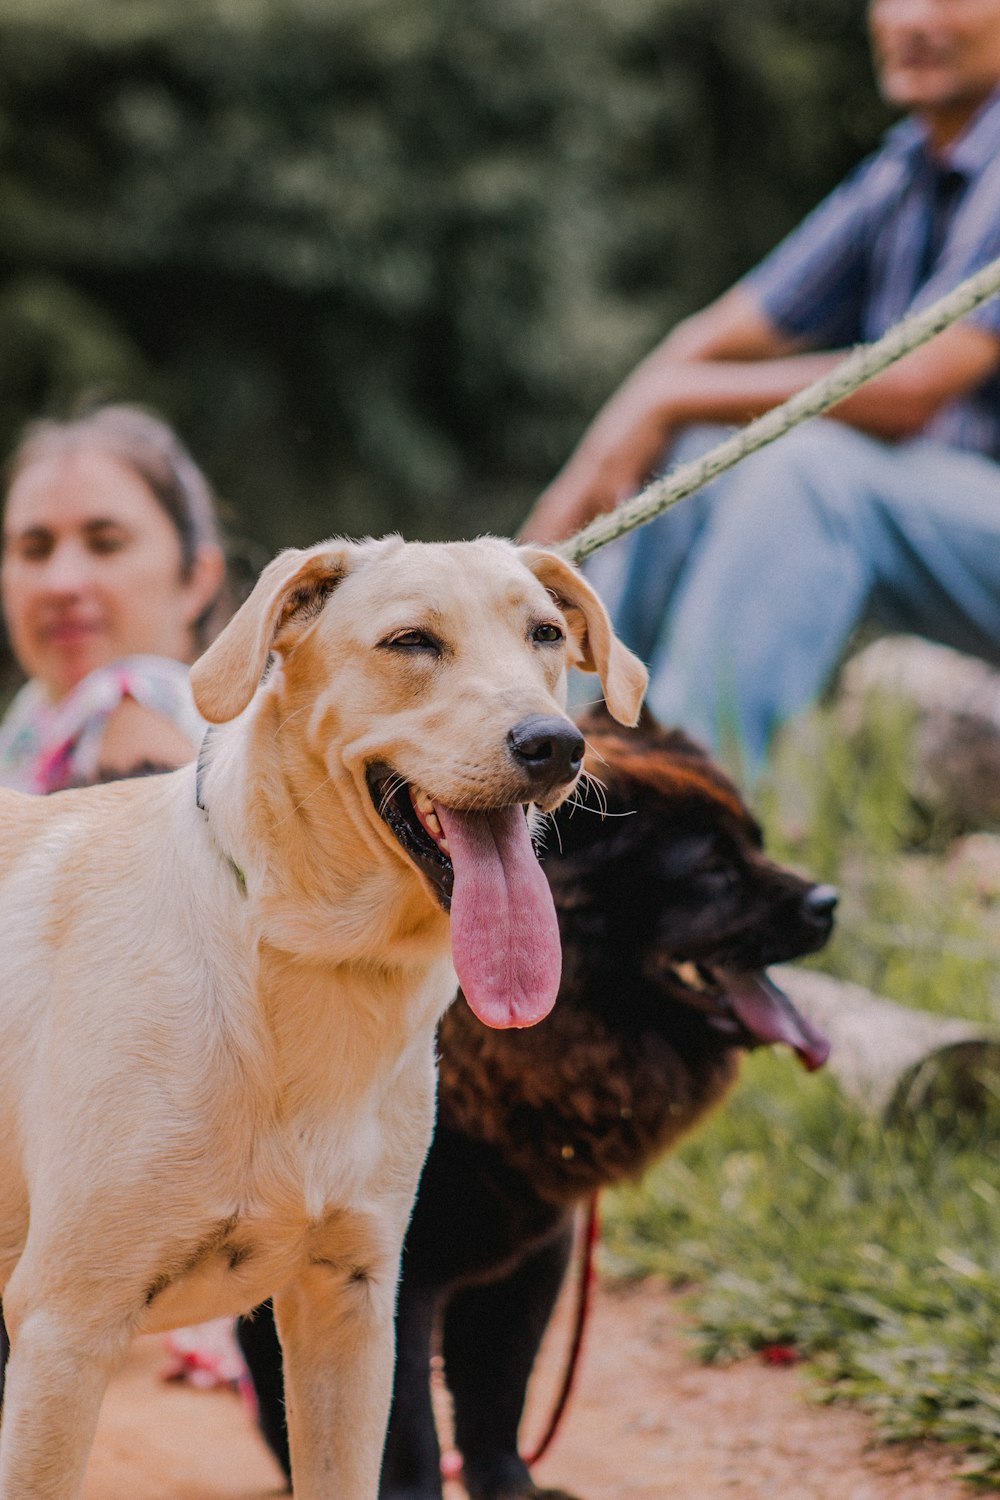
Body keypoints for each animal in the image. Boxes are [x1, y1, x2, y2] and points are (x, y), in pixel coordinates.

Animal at [0, 540, 650, 1500]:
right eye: (411, 641)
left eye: (545, 635)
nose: (554, 745)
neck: (310, 960)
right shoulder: (64, 1332)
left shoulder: (351, 1306)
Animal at [239, 705, 839, 1500]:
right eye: (713, 871)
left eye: (756, 842)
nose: (828, 903)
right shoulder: (390, 1271)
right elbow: (405, 1433)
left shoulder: (530, 1259)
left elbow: (499, 1398)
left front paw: (512, 1486)